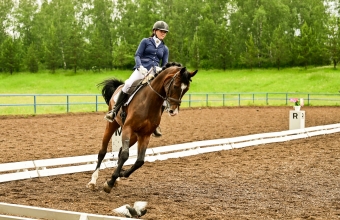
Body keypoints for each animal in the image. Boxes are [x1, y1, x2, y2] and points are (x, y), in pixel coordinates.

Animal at [87, 62, 198, 193]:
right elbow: (125, 155)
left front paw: (119, 175)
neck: (149, 102)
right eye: (175, 86)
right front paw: (110, 182)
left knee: (120, 152)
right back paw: (93, 181)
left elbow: (139, 161)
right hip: (112, 125)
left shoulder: (145, 135)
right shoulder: (127, 128)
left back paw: (116, 179)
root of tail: (119, 86)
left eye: (186, 89)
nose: (173, 111)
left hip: (135, 136)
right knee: (102, 152)